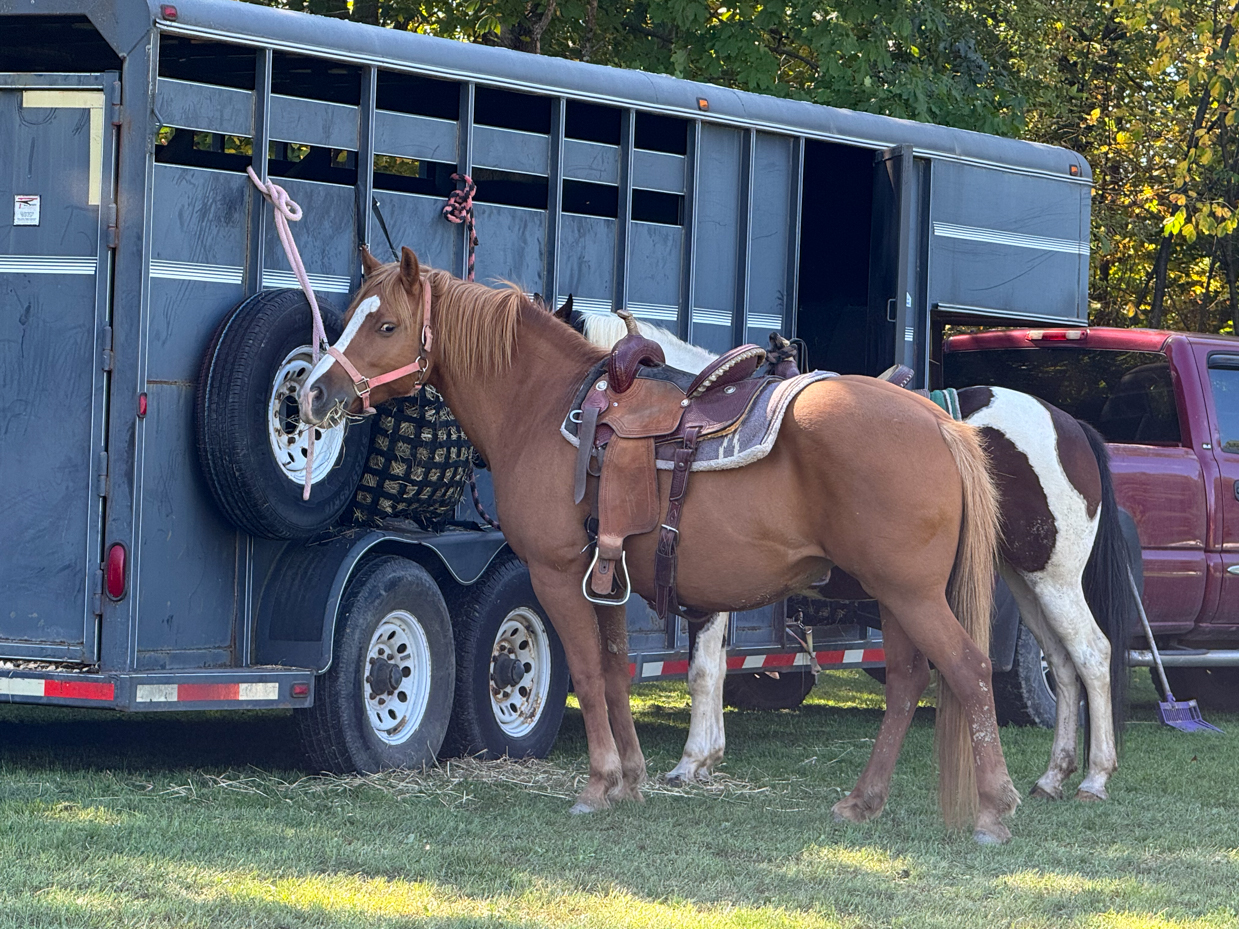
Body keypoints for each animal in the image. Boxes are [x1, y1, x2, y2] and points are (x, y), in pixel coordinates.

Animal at [299, 247, 1015, 842]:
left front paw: (597, 785)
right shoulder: (607, 579)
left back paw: (992, 811)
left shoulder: (557, 574)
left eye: (386, 326)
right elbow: (615, 672)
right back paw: (864, 801)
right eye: (351, 317)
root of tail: (938, 422)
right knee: (906, 681)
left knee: (969, 671)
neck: (548, 408)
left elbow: (587, 673)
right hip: (893, 594)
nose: (313, 393)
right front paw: (632, 780)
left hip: (911, 593)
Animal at [560, 307, 1134, 807]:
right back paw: (1053, 777)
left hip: (1053, 576)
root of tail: (1070, 425)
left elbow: (703, 669)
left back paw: (1095, 778)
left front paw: (691, 762)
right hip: (1024, 578)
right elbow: (717, 667)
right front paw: (706, 758)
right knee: (1062, 663)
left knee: (1091, 654)